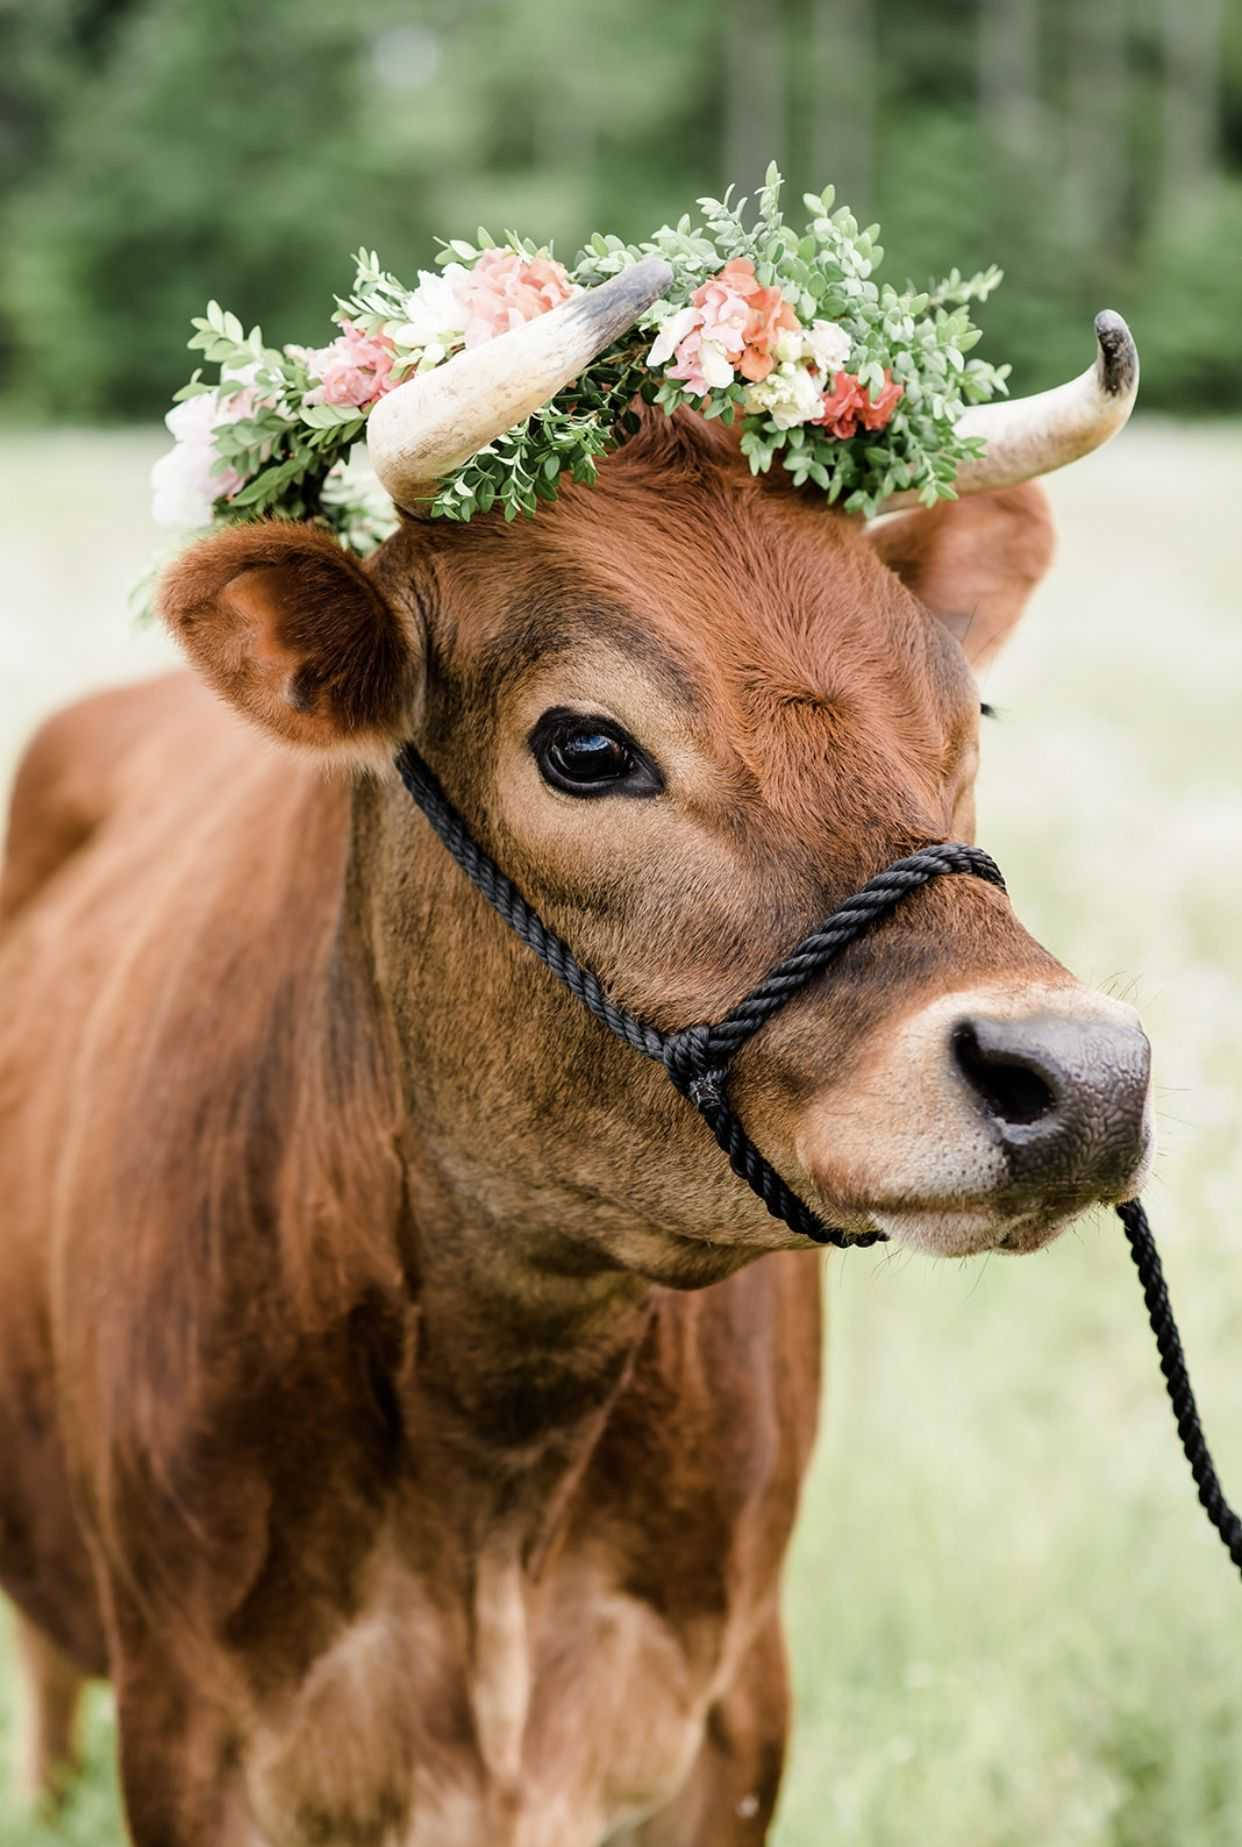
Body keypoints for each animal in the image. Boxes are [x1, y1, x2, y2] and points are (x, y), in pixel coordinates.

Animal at [0, 264, 1153, 1847]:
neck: (499, 1451)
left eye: (962, 709)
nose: (1079, 1075)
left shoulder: (734, 1711)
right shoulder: (194, 1734)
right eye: (587, 747)